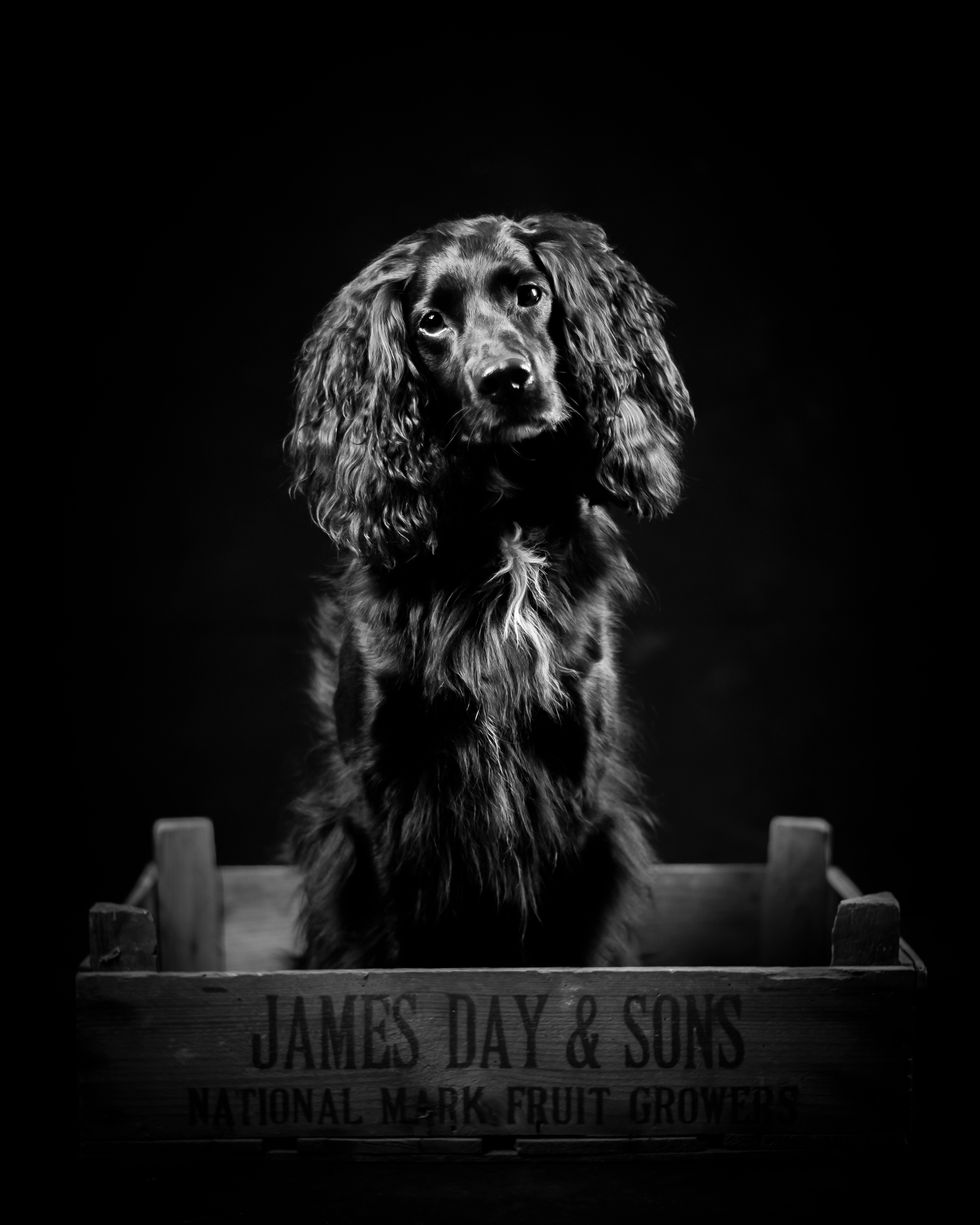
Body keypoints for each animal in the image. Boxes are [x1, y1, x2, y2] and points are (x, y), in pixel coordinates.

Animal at [287, 213, 693, 968]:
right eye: (431, 322)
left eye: (530, 292)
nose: (508, 380)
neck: (503, 525)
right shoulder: (383, 796)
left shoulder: (576, 782)